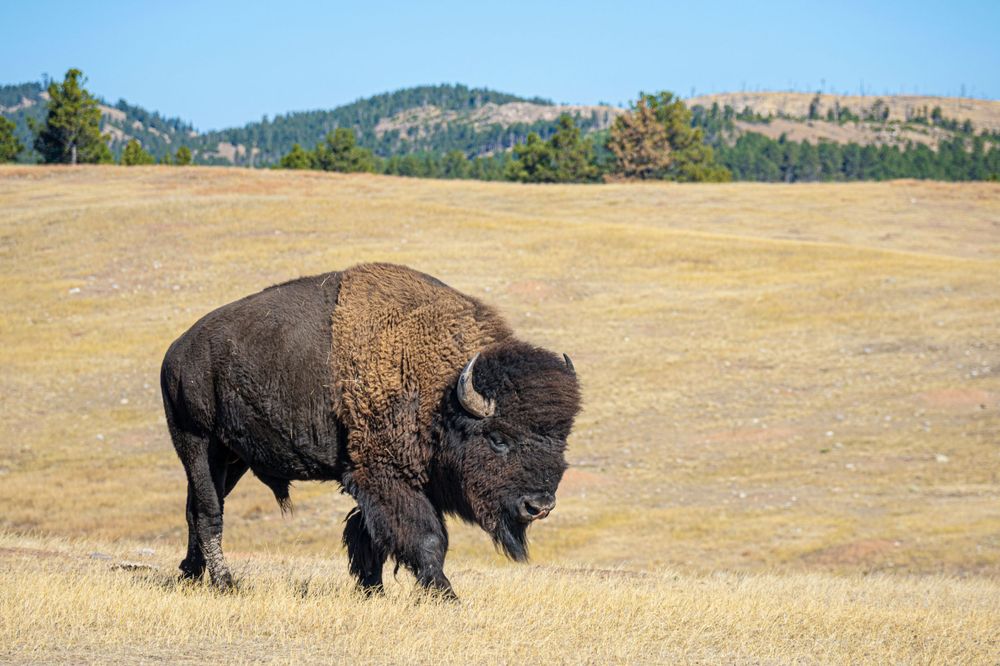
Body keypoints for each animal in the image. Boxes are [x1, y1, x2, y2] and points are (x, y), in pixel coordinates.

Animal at [160, 263, 581, 598]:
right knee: (208, 511)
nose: (539, 506)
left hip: (232, 458)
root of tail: (176, 351)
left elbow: (368, 536)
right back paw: (225, 583)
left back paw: (190, 575)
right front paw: (446, 596)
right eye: (498, 439)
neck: (440, 393)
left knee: (194, 508)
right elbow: (426, 537)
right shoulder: (385, 476)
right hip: (196, 440)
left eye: (561, 439)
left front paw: (372, 590)